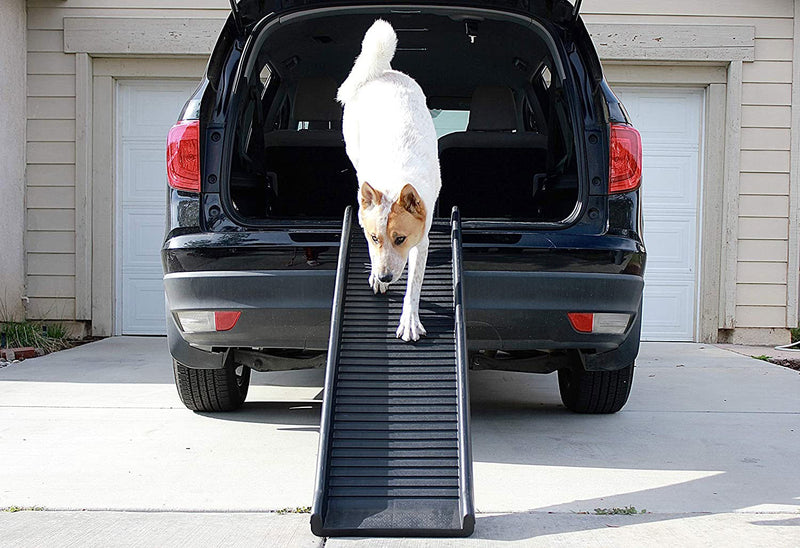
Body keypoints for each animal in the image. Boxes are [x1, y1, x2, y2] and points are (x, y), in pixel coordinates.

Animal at [334, 19, 440, 340]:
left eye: (401, 238)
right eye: (374, 237)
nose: (385, 276)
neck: (395, 181)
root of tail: (383, 72)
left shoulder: (422, 242)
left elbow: (414, 286)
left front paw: (409, 321)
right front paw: (375, 277)